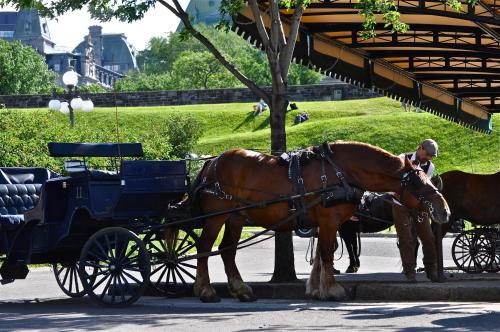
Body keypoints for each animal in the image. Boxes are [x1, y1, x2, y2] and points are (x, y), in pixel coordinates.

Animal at [191, 141, 450, 302]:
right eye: (418, 183)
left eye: (428, 177)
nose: (444, 210)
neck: (341, 172)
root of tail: (212, 162)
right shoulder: (329, 220)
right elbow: (326, 252)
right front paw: (333, 290)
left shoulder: (323, 223)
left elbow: (320, 256)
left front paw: (317, 289)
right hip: (216, 216)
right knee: (204, 247)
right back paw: (205, 290)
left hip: (235, 217)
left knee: (227, 250)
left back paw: (241, 290)